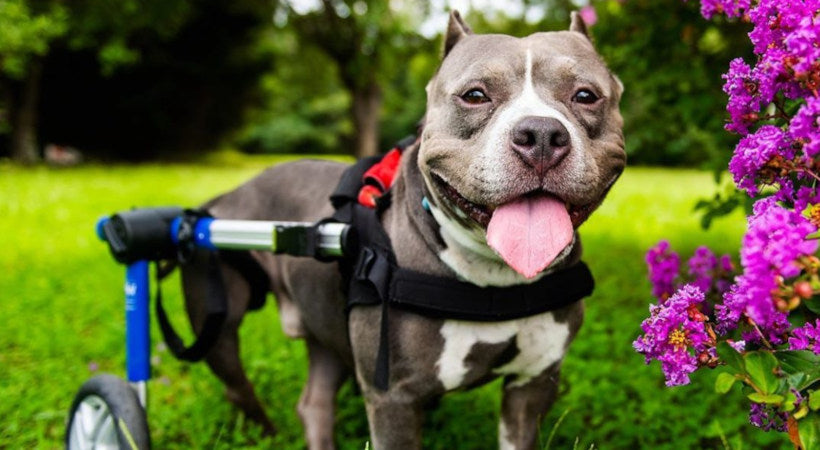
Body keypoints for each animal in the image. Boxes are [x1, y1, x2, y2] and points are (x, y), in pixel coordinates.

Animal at [179, 11, 624, 450]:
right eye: (475, 95)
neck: (495, 278)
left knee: (314, 401)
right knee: (236, 383)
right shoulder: (393, 398)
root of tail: (227, 195)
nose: (542, 135)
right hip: (217, 321)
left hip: (326, 330)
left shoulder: (532, 386)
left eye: (586, 96)